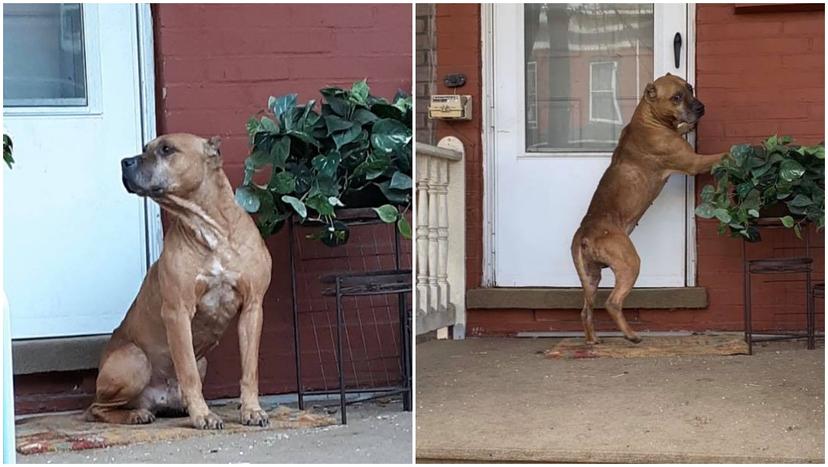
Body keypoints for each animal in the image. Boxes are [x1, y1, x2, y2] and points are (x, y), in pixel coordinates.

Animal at [86, 133, 272, 430]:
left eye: (166, 149)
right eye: (145, 149)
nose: (125, 161)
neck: (211, 230)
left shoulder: (253, 308)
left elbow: (250, 368)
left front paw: (252, 410)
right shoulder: (178, 311)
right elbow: (187, 371)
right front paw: (203, 415)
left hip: (202, 360)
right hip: (135, 360)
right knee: (96, 408)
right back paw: (136, 414)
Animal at [572, 73, 728, 344]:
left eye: (690, 88)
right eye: (676, 97)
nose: (700, 108)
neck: (649, 118)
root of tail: (585, 233)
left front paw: (687, 127)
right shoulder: (694, 162)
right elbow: (721, 155)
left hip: (590, 278)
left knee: (586, 311)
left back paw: (593, 341)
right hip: (629, 264)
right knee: (613, 302)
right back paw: (631, 336)